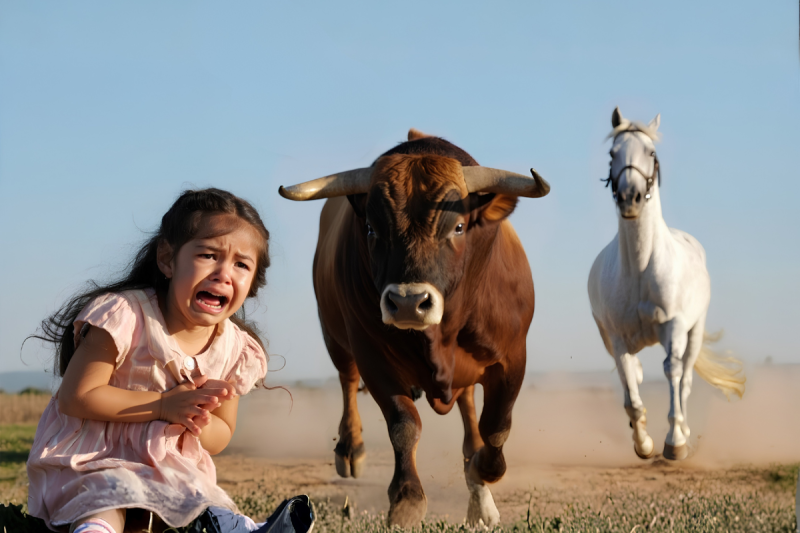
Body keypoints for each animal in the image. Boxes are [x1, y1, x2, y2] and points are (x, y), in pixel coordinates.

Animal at [587, 107, 745, 460]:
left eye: (651, 152)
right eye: (612, 153)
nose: (630, 198)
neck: (640, 270)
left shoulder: (674, 326)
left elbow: (672, 373)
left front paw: (675, 442)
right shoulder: (616, 338)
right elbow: (630, 387)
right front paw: (643, 444)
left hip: (694, 332)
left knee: (684, 379)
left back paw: (684, 432)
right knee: (634, 376)